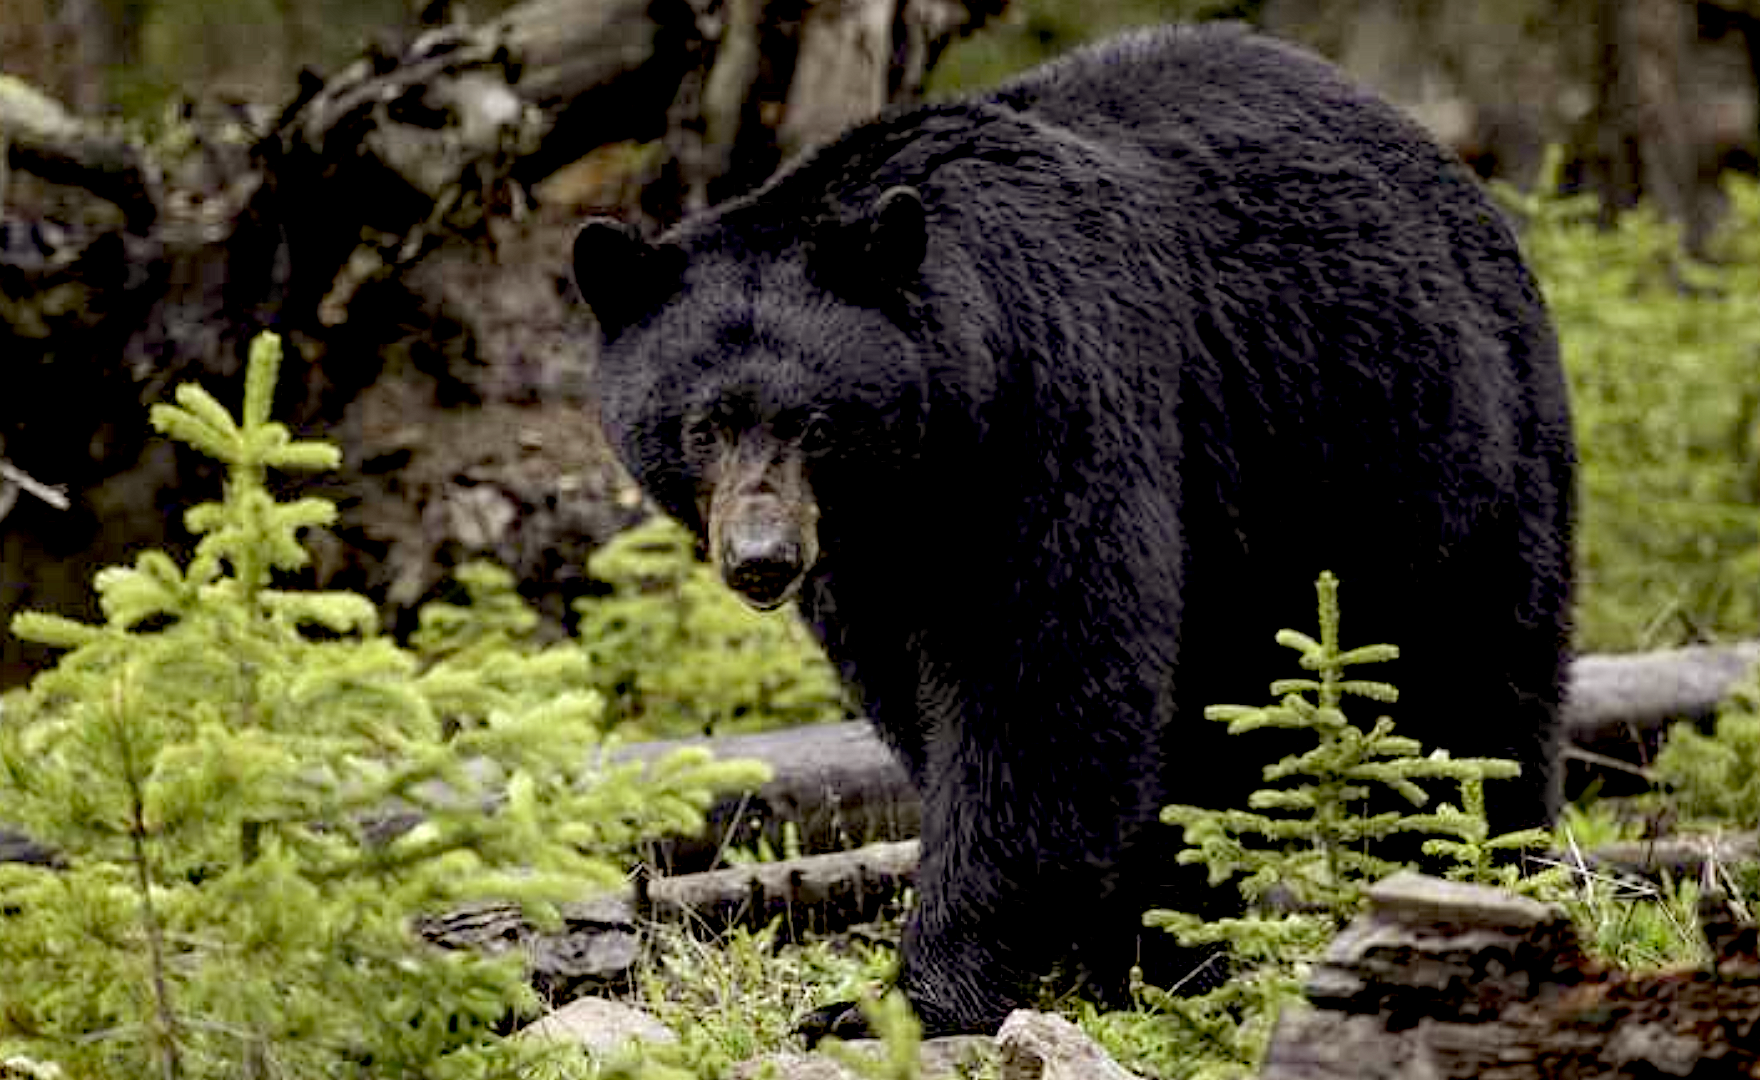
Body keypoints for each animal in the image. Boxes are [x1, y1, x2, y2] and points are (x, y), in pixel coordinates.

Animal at [570, 22, 1574, 1036]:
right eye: (702, 425)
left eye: (815, 424)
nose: (763, 560)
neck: (934, 463)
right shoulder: (871, 560)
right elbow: (928, 699)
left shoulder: (1058, 410)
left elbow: (1044, 686)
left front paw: (910, 994)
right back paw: (1178, 943)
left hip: (1429, 449)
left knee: (1472, 684)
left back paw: (1475, 872)